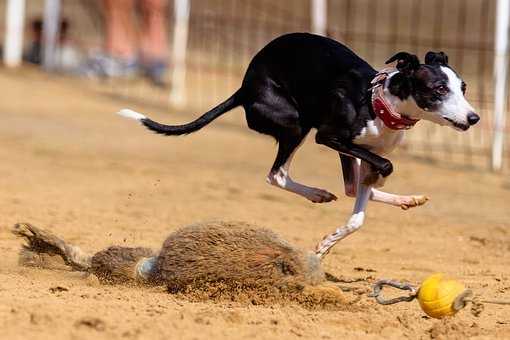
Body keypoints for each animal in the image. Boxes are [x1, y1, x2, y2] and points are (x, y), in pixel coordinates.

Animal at [118, 33, 478, 256]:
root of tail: (244, 88)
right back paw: (317, 193)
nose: (474, 118)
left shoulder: (363, 152)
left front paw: (331, 241)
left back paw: (405, 199)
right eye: (438, 89)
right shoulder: (330, 137)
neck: (379, 102)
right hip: (296, 124)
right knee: (276, 175)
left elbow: (359, 208)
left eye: (463, 87)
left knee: (349, 187)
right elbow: (381, 170)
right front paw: (327, 242)